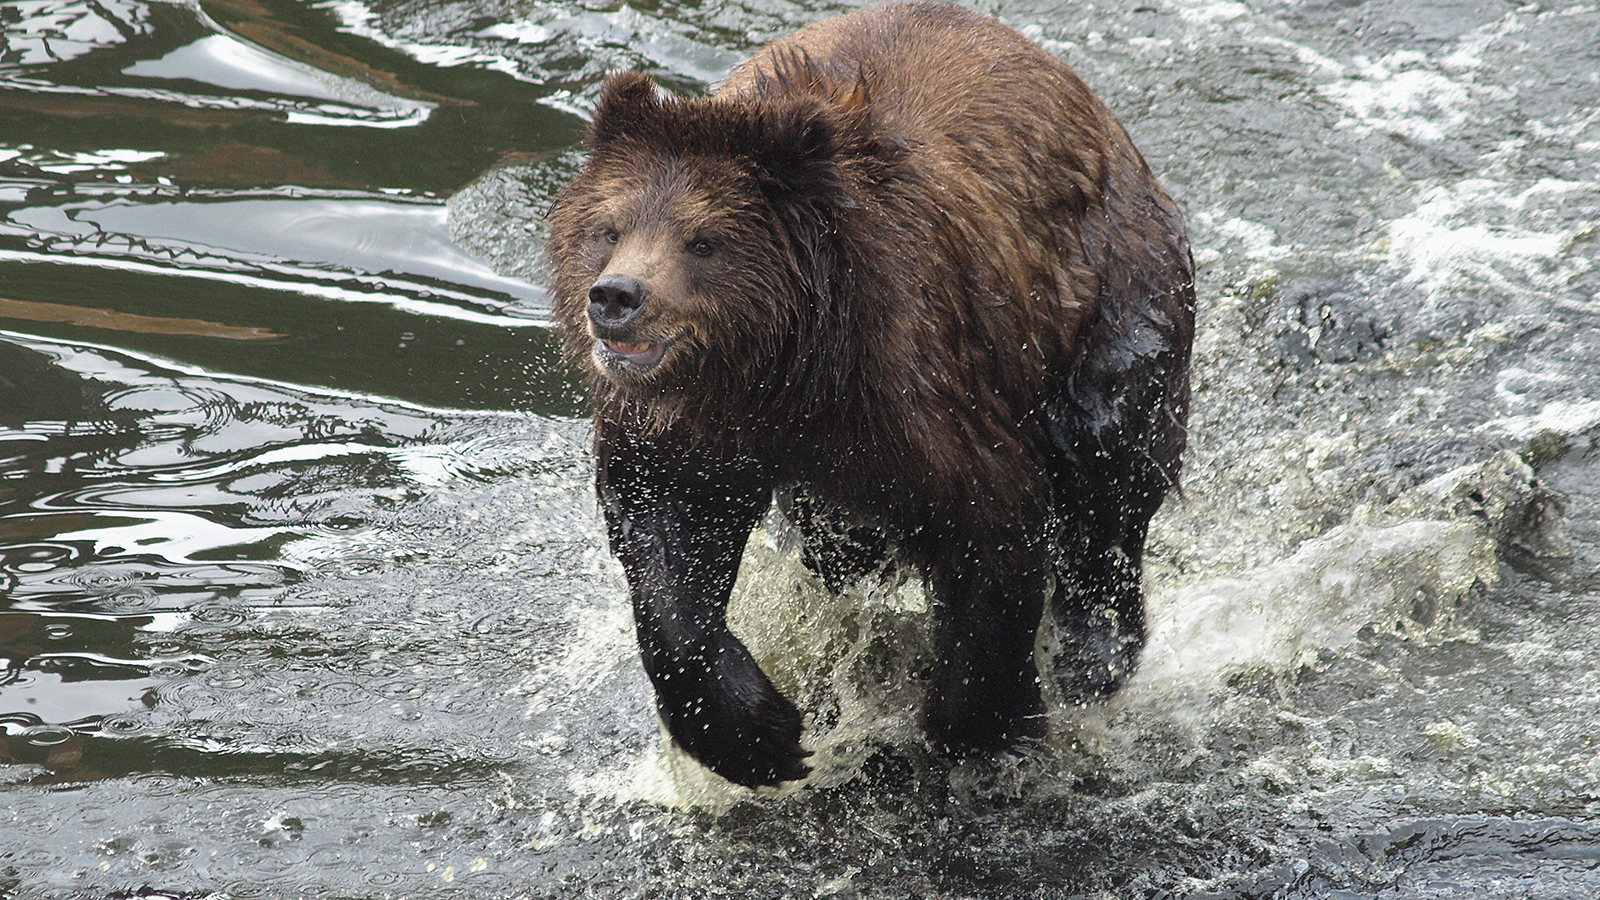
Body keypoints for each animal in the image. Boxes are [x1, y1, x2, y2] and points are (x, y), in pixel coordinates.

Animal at [544, 1, 1196, 784]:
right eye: (609, 227)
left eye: (703, 240)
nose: (616, 297)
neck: (784, 371)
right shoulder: (692, 429)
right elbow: (671, 545)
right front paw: (763, 735)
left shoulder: (922, 390)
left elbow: (992, 529)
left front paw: (986, 729)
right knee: (840, 547)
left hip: (1110, 295)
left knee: (1109, 464)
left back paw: (1092, 654)